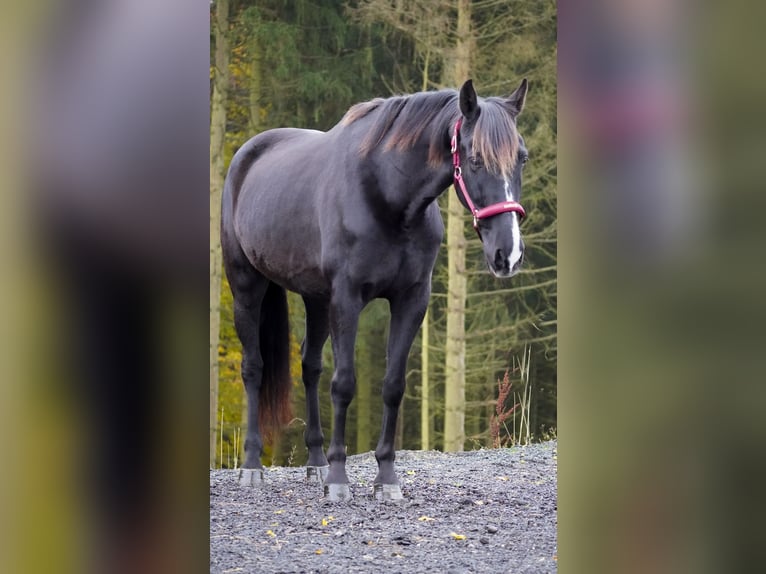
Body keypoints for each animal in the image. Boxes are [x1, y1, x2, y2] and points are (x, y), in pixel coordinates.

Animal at [222, 79, 532, 502]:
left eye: (522, 158)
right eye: (475, 159)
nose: (508, 254)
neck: (387, 196)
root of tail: (246, 156)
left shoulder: (411, 301)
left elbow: (393, 385)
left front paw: (386, 478)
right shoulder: (348, 299)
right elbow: (344, 384)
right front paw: (339, 478)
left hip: (316, 299)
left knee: (310, 367)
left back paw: (316, 463)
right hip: (246, 286)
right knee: (254, 368)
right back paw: (253, 467)